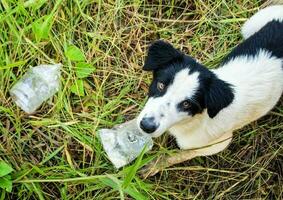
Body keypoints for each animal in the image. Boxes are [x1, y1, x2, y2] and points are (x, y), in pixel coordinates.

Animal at [139, 5, 283, 177]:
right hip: (252, 23)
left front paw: (153, 166)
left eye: (187, 104)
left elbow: (179, 154)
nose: (146, 126)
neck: (195, 121)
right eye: (161, 85)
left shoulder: (217, 143)